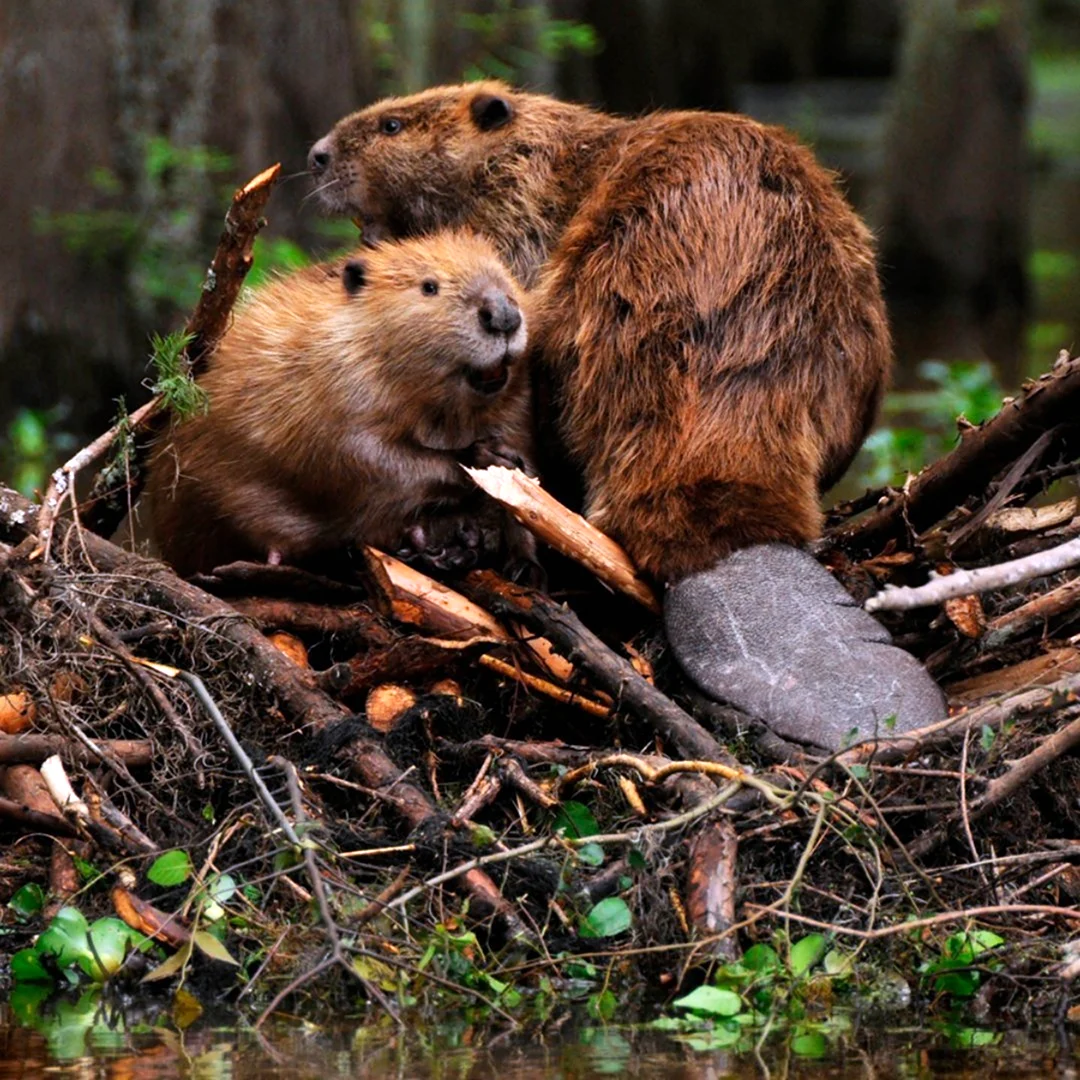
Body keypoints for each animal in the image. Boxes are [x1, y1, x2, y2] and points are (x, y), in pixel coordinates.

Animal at [146, 231, 535, 578]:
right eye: (429, 286)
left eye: (506, 275)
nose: (503, 315)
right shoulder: (334, 384)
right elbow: (361, 456)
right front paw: (483, 457)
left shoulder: (514, 407)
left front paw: (523, 560)